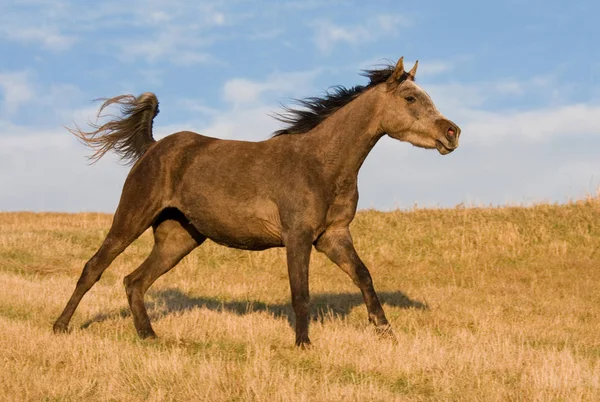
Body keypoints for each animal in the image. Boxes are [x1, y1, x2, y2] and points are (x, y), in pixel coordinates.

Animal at [54, 56, 462, 346]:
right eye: (410, 98)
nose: (452, 133)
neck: (321, 163)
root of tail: (154, 148)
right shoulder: (298, 236)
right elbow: (300, 291)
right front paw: (303, 344)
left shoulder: (334, 236)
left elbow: (364, 276)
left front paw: (386, 332)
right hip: (131, 218)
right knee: (94, 268)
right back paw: (60, 327)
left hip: (178, 238)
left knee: (134, 281)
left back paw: (150, 337)